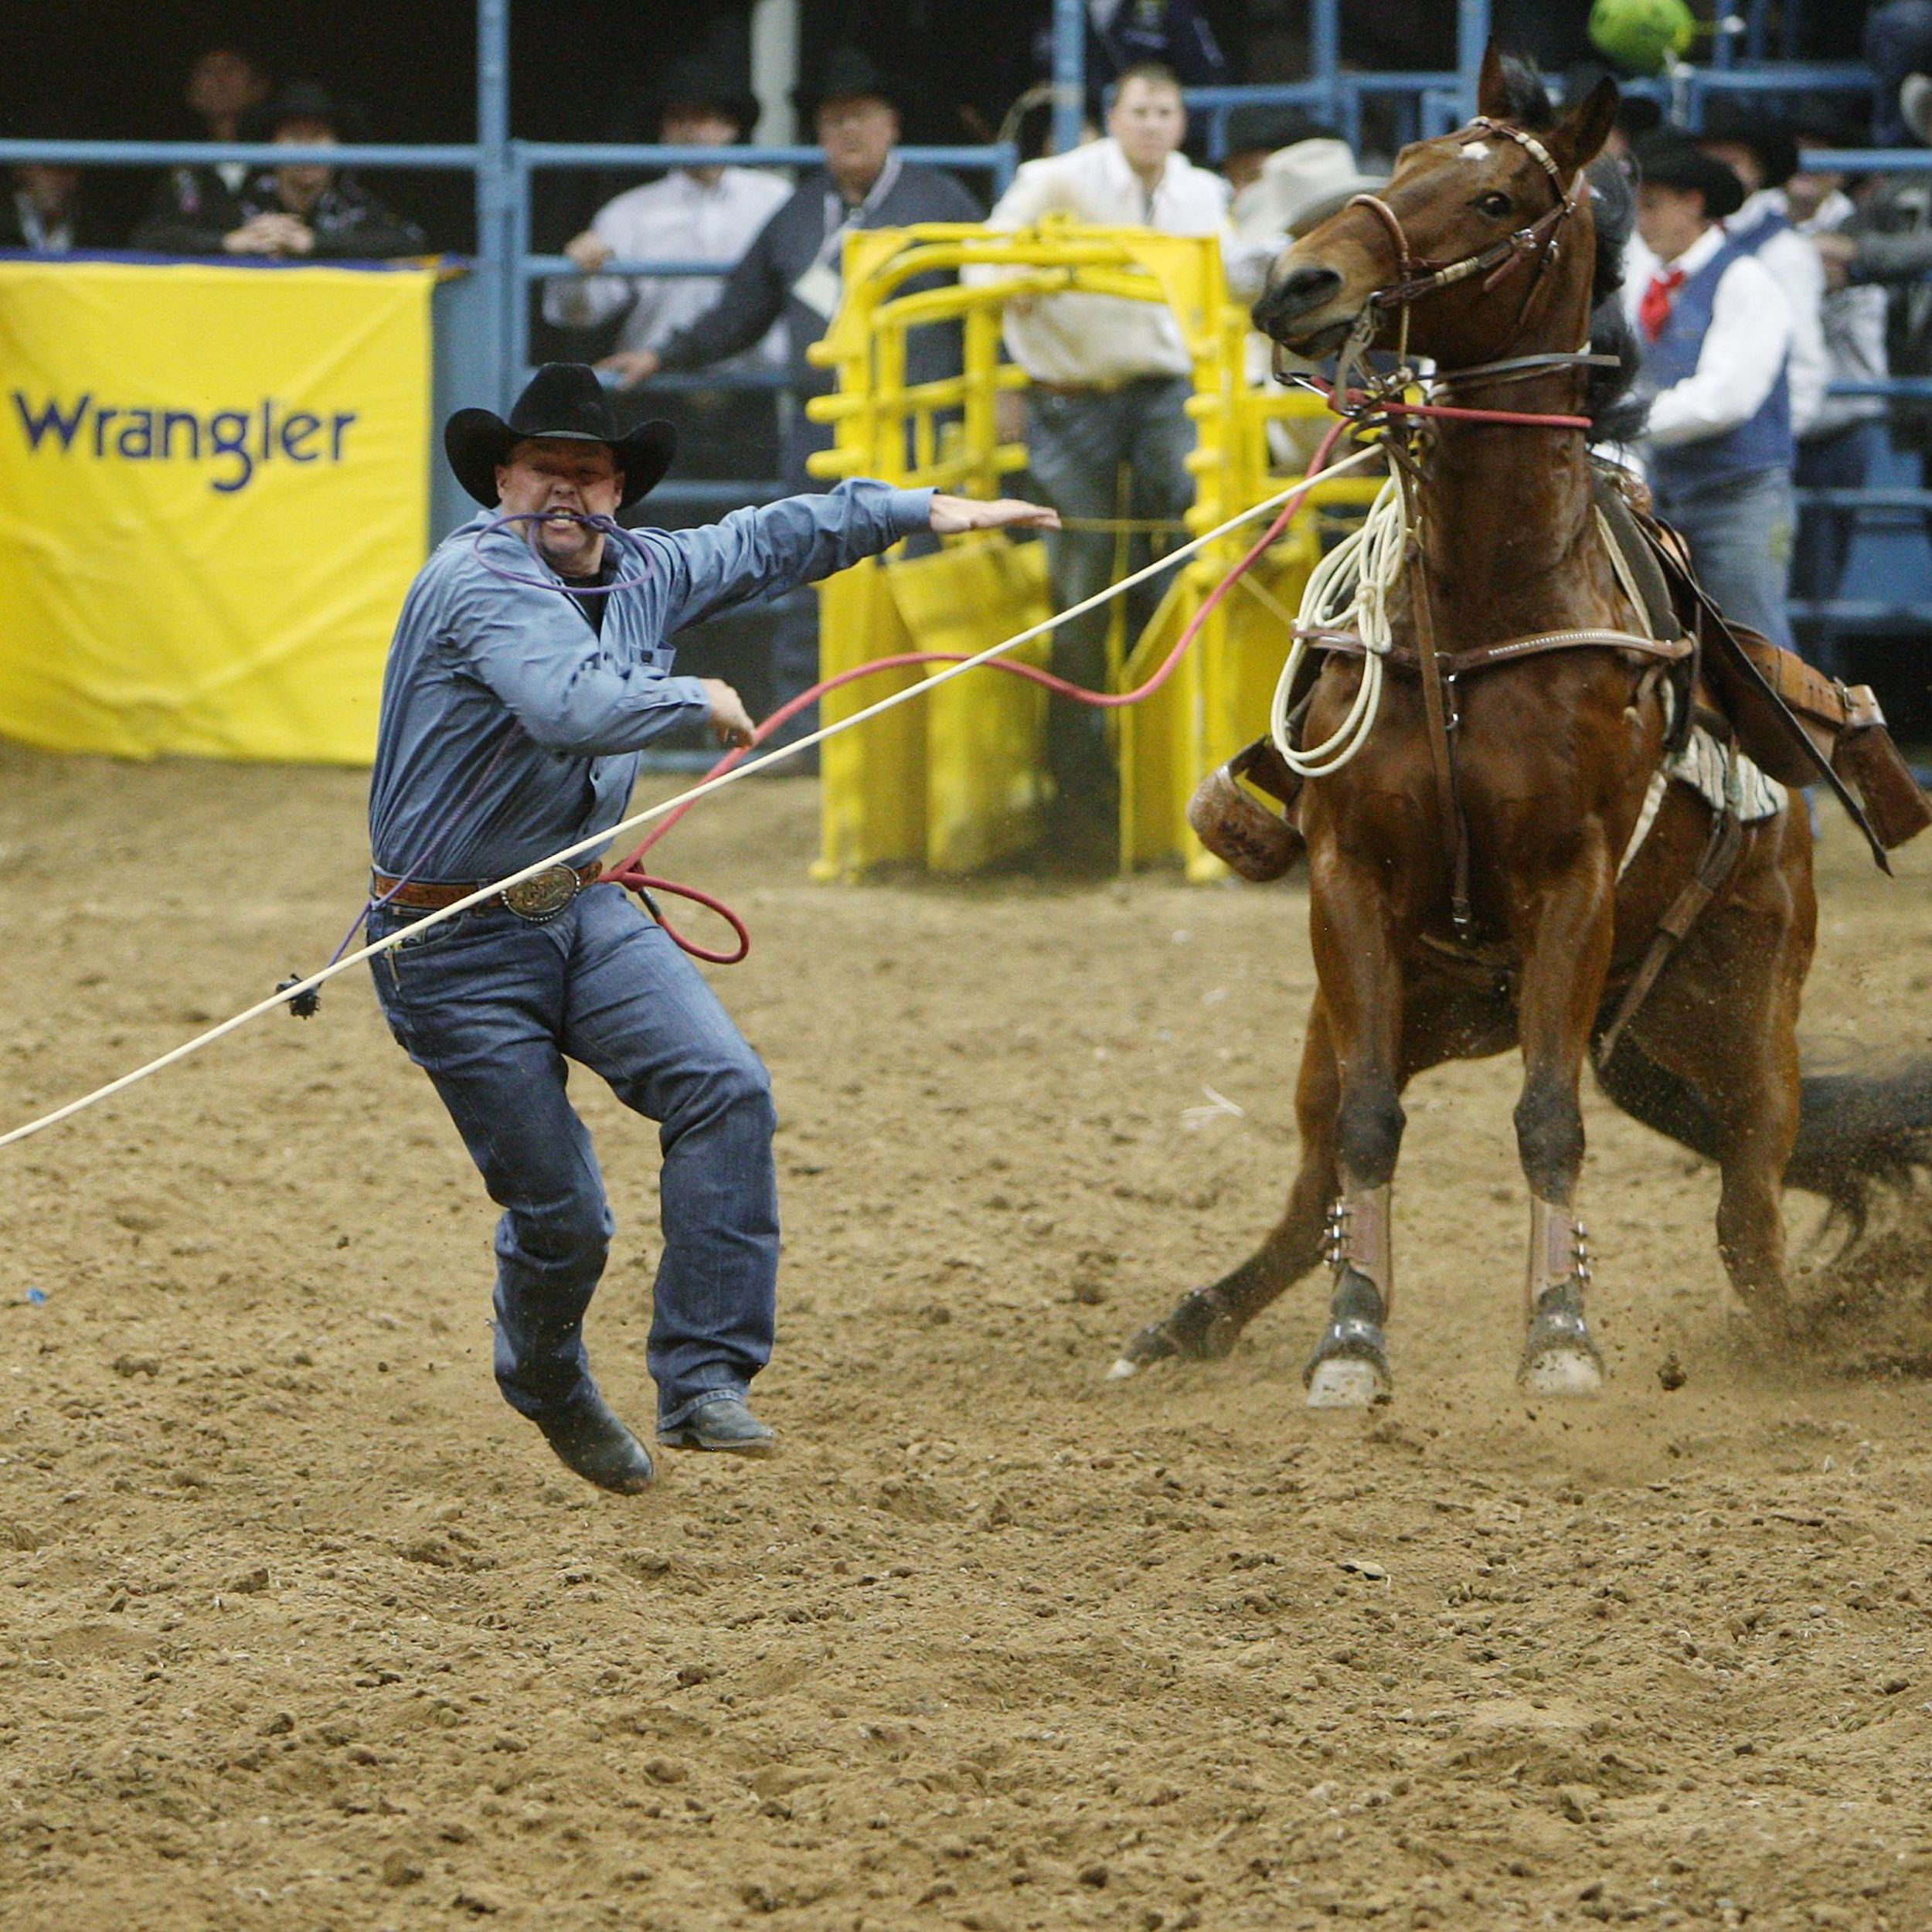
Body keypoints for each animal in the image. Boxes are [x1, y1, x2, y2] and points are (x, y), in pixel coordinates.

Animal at [1113, 49, 1932, 1406]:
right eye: (1402, 163)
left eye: (1495, 200)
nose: (1297, 282)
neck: (1479, 617)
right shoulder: (1349, 883)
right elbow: (1368, 1131)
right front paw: (1353, 1337)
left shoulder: (1572, 887)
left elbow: (1549, 1123)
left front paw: (1560, 1331)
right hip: (1402, 1011)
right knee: (1314, 1177)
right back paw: (1191, 1319)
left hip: (1746, 1030)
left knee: (1751, 1224)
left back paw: (1805, 1342)